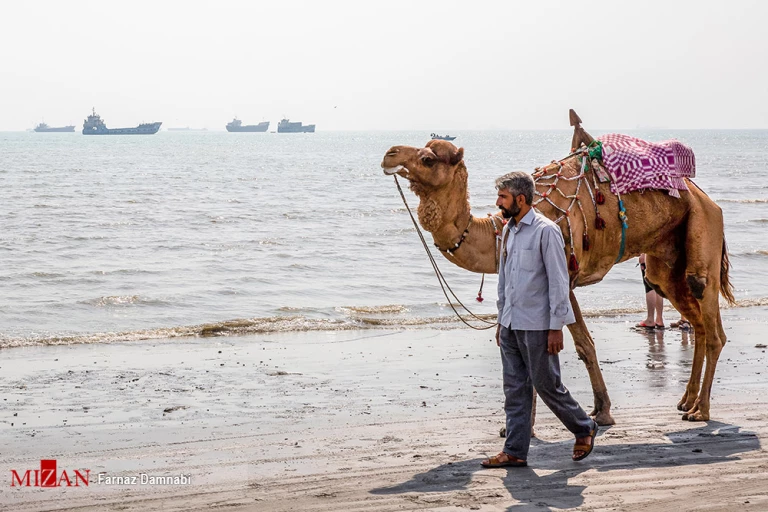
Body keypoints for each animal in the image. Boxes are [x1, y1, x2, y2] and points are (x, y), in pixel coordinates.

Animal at [380, 116, 736, 424]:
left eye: (428, 158)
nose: (389, 154)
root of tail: (706, 198)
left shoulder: (562, 276)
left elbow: (581, 345)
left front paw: (601, 413)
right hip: (664, 263)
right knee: (695, 321)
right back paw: (686, 401)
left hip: (702, 228)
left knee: (710, 319)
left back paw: (700, 411)